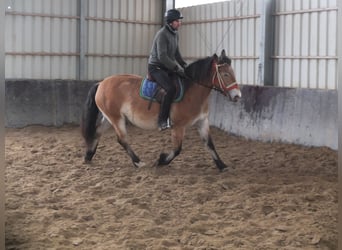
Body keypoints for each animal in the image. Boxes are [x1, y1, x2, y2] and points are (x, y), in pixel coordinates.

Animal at [81, 49, 240, 170]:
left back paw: (88, 156)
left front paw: (222, 165)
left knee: (97, 132)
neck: (192, 91)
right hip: (116, 118)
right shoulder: (178, 126)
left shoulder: (202, 121)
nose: (237, 96)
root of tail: (101, 83)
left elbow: (209, 144)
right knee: (122, 139)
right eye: (225, 74)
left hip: (109, 117)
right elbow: (177, 149)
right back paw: (138, 162)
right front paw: (161, 160)